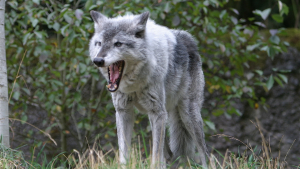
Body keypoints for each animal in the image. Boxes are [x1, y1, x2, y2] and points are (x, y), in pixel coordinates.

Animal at [88, 10, 207, 168]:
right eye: (99, 43)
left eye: (118, 44)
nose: (98, 60)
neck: (134, 84)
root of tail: (188, 39)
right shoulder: (123, 112)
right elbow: (124, 152)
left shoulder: (157, 112)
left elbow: (155, 156)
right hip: (159, 118)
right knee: (167, 154)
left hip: (187, 115)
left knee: (205, 152)